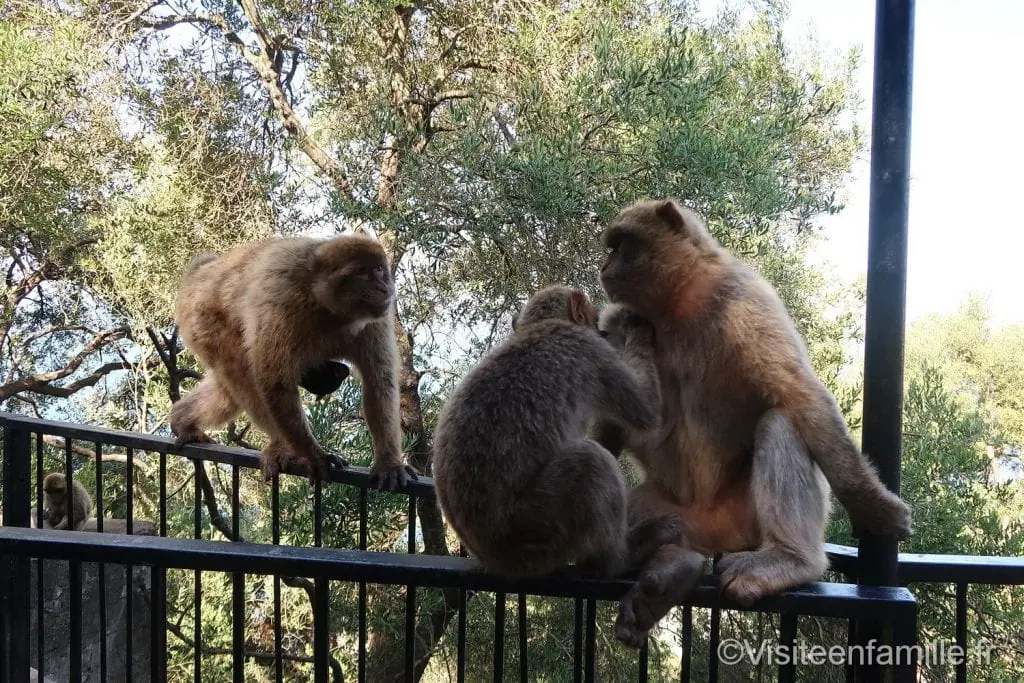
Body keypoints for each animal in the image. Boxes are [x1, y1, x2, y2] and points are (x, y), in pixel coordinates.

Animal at [170, 235, 418, 490]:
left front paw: (389, 463)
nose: (384, 287)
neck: (330, 309)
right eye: (362, 272)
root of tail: (202, 270)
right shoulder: (282, 300)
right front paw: (315, 456)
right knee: (243, 374)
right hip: (201, 319)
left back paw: (182, 420)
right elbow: (274, 384)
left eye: (379, 269)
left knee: (228, 391)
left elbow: (379, 382)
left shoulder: (375, 321)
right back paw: (281, 445)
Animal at [431, 285, 662, 580]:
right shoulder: (589, 349)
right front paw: (634, 324)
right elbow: (647, 411)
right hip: (537, 527)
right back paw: (614, 561)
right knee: (590, 461)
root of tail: (494, 558)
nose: (602, 330)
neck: (539, 325)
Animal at [595, 198, 913, 647]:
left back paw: (791, 559)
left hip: (745, 512)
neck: (678, 302)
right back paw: (665, 565)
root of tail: (713, 526)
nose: (605, 266)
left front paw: (874, 507)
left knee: (780, 422)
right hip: (669, 507)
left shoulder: (741, 296)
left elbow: (797, 391)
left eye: (622, 245)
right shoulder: (621, 319)